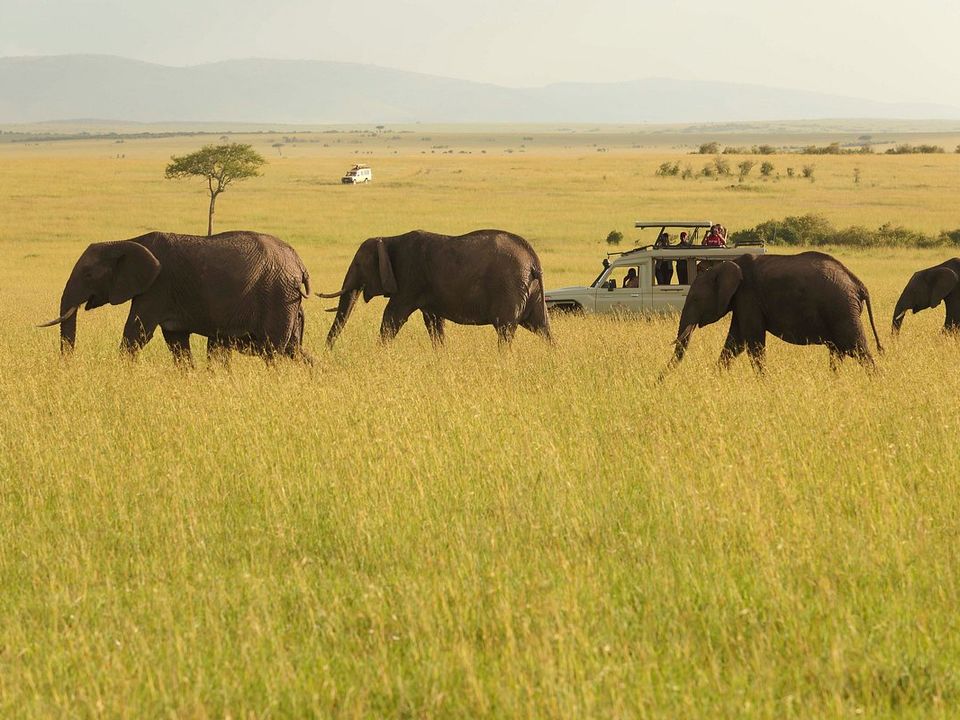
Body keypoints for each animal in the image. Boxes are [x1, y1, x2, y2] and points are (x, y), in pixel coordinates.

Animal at [40, 232, 312, 362]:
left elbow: (136, 333)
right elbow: (176, 341)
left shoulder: (157, 286)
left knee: (274, 350)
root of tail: (300, 264)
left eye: (88, 274)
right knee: (294, 350)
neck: (126, 242)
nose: (67, 366)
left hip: (277, 295)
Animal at [318, 228, 552, 346]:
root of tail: (534, 261)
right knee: (541, 327)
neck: (389, 239)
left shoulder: (411, 278)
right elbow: (433, 322)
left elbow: (392, 315)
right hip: (529, 291)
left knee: (505, 330)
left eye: (358, 265)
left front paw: (379, 352)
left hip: (510, 288)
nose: (328, 351)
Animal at [664, 252, 880, 374]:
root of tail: (859, 284)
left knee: (857, 348)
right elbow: (735, 343)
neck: (723, 265)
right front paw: (716, 378)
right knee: (838, 351)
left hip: (841, 310)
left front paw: (763, 382)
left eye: (695, 300)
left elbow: (753, 343)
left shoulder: (748, 295)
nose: (660, 382)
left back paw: (875, 380)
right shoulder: (742, 301)